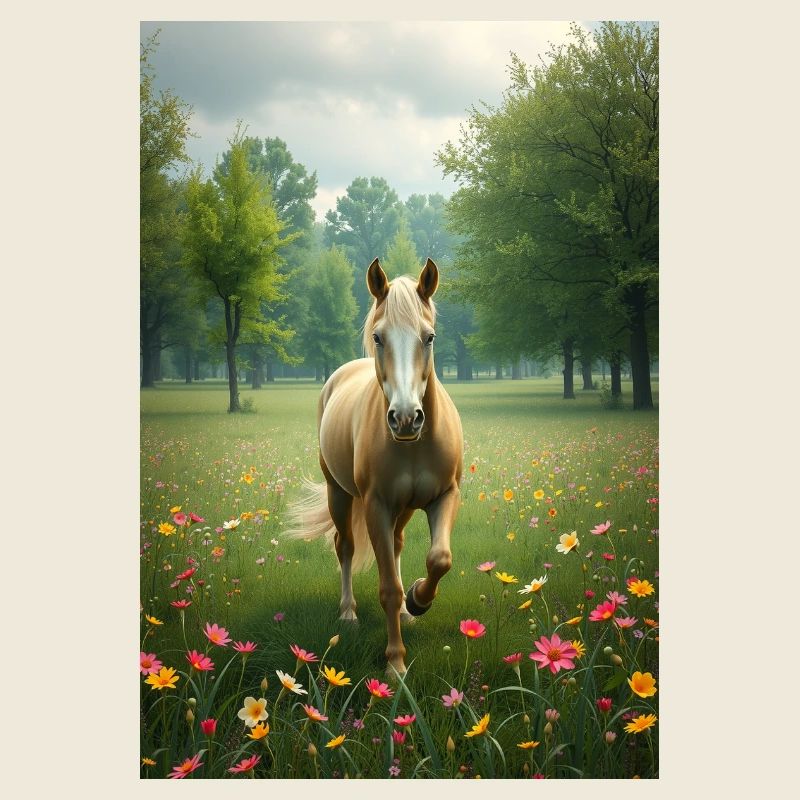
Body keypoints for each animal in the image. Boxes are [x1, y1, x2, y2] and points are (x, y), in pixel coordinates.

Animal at [288, 257, 463, 676]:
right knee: (345, 547)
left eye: (429, 337)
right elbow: (387, 588)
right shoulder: (375, 506)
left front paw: (417, 600)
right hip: (339, 494)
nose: (405, 418)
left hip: (403, 508)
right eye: (379, 337)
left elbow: (439, 559)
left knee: (397, 545)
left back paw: (407, 611)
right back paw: (348, 614)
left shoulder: (445, 496)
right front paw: (396, 665)